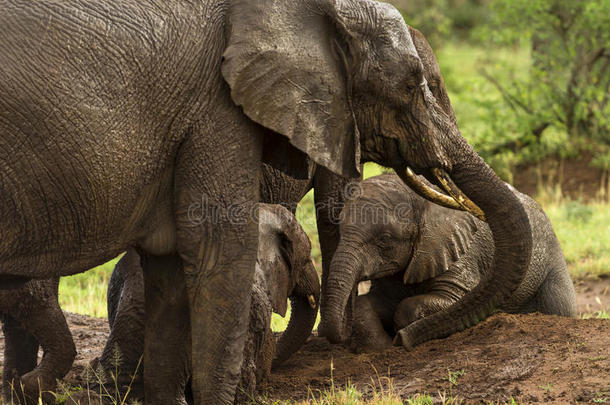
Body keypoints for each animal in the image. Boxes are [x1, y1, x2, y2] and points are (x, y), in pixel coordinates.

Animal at [324, 174, 576, 350]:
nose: (399, 341)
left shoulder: (457, 252)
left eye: (385, 239)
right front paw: (380, 348)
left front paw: (399, 335)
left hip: (553, 260)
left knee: (559, 305)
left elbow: (444, 299)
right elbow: (370, 304)